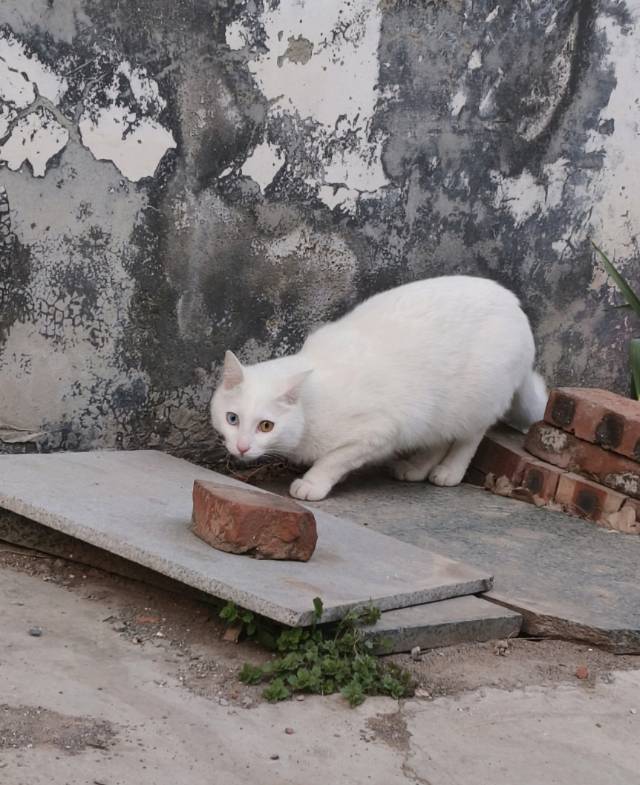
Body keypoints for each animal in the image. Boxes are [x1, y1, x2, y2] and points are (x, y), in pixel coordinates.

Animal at [210, 272, 544, 500]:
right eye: (232, 419)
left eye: (266, 426)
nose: (241, 447)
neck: (312, 407)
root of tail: (514, 304)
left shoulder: (377, 433)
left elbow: (333, 459)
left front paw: (313, 483)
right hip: (437, 410)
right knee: (437, 437)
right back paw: (417, 468)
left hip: (476, 400)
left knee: (470, 437)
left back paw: (450, 471)